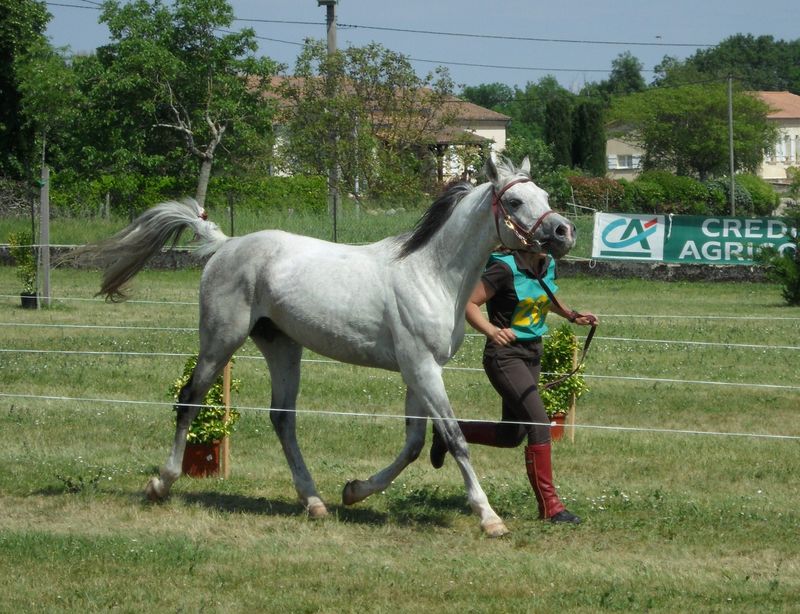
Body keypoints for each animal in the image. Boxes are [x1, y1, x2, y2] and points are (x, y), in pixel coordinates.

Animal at [73, 156, 576, 536]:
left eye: (546, 198)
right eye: (515, 200)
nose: (563, 232)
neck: (432, 273)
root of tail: (226, 244)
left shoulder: (418, 371)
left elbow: (415, 444)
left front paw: (354, 491)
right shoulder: (422, 368)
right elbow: (454, 439)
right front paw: (489, 518)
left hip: (282, 347)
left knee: (282, 418)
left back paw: (314, 501)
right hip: (220, 340)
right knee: (190, 400)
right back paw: (162, 483)